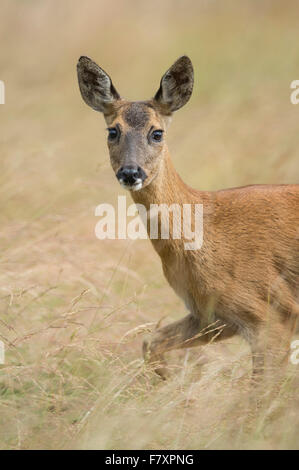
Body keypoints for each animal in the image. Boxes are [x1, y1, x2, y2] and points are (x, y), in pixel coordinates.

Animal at [78, 55, 299, 382]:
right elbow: (150, 341)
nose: (130, 172)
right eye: (112, 131)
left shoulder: (272, 313)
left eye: (157, 132)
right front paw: (168, 385)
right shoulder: (212, 316)